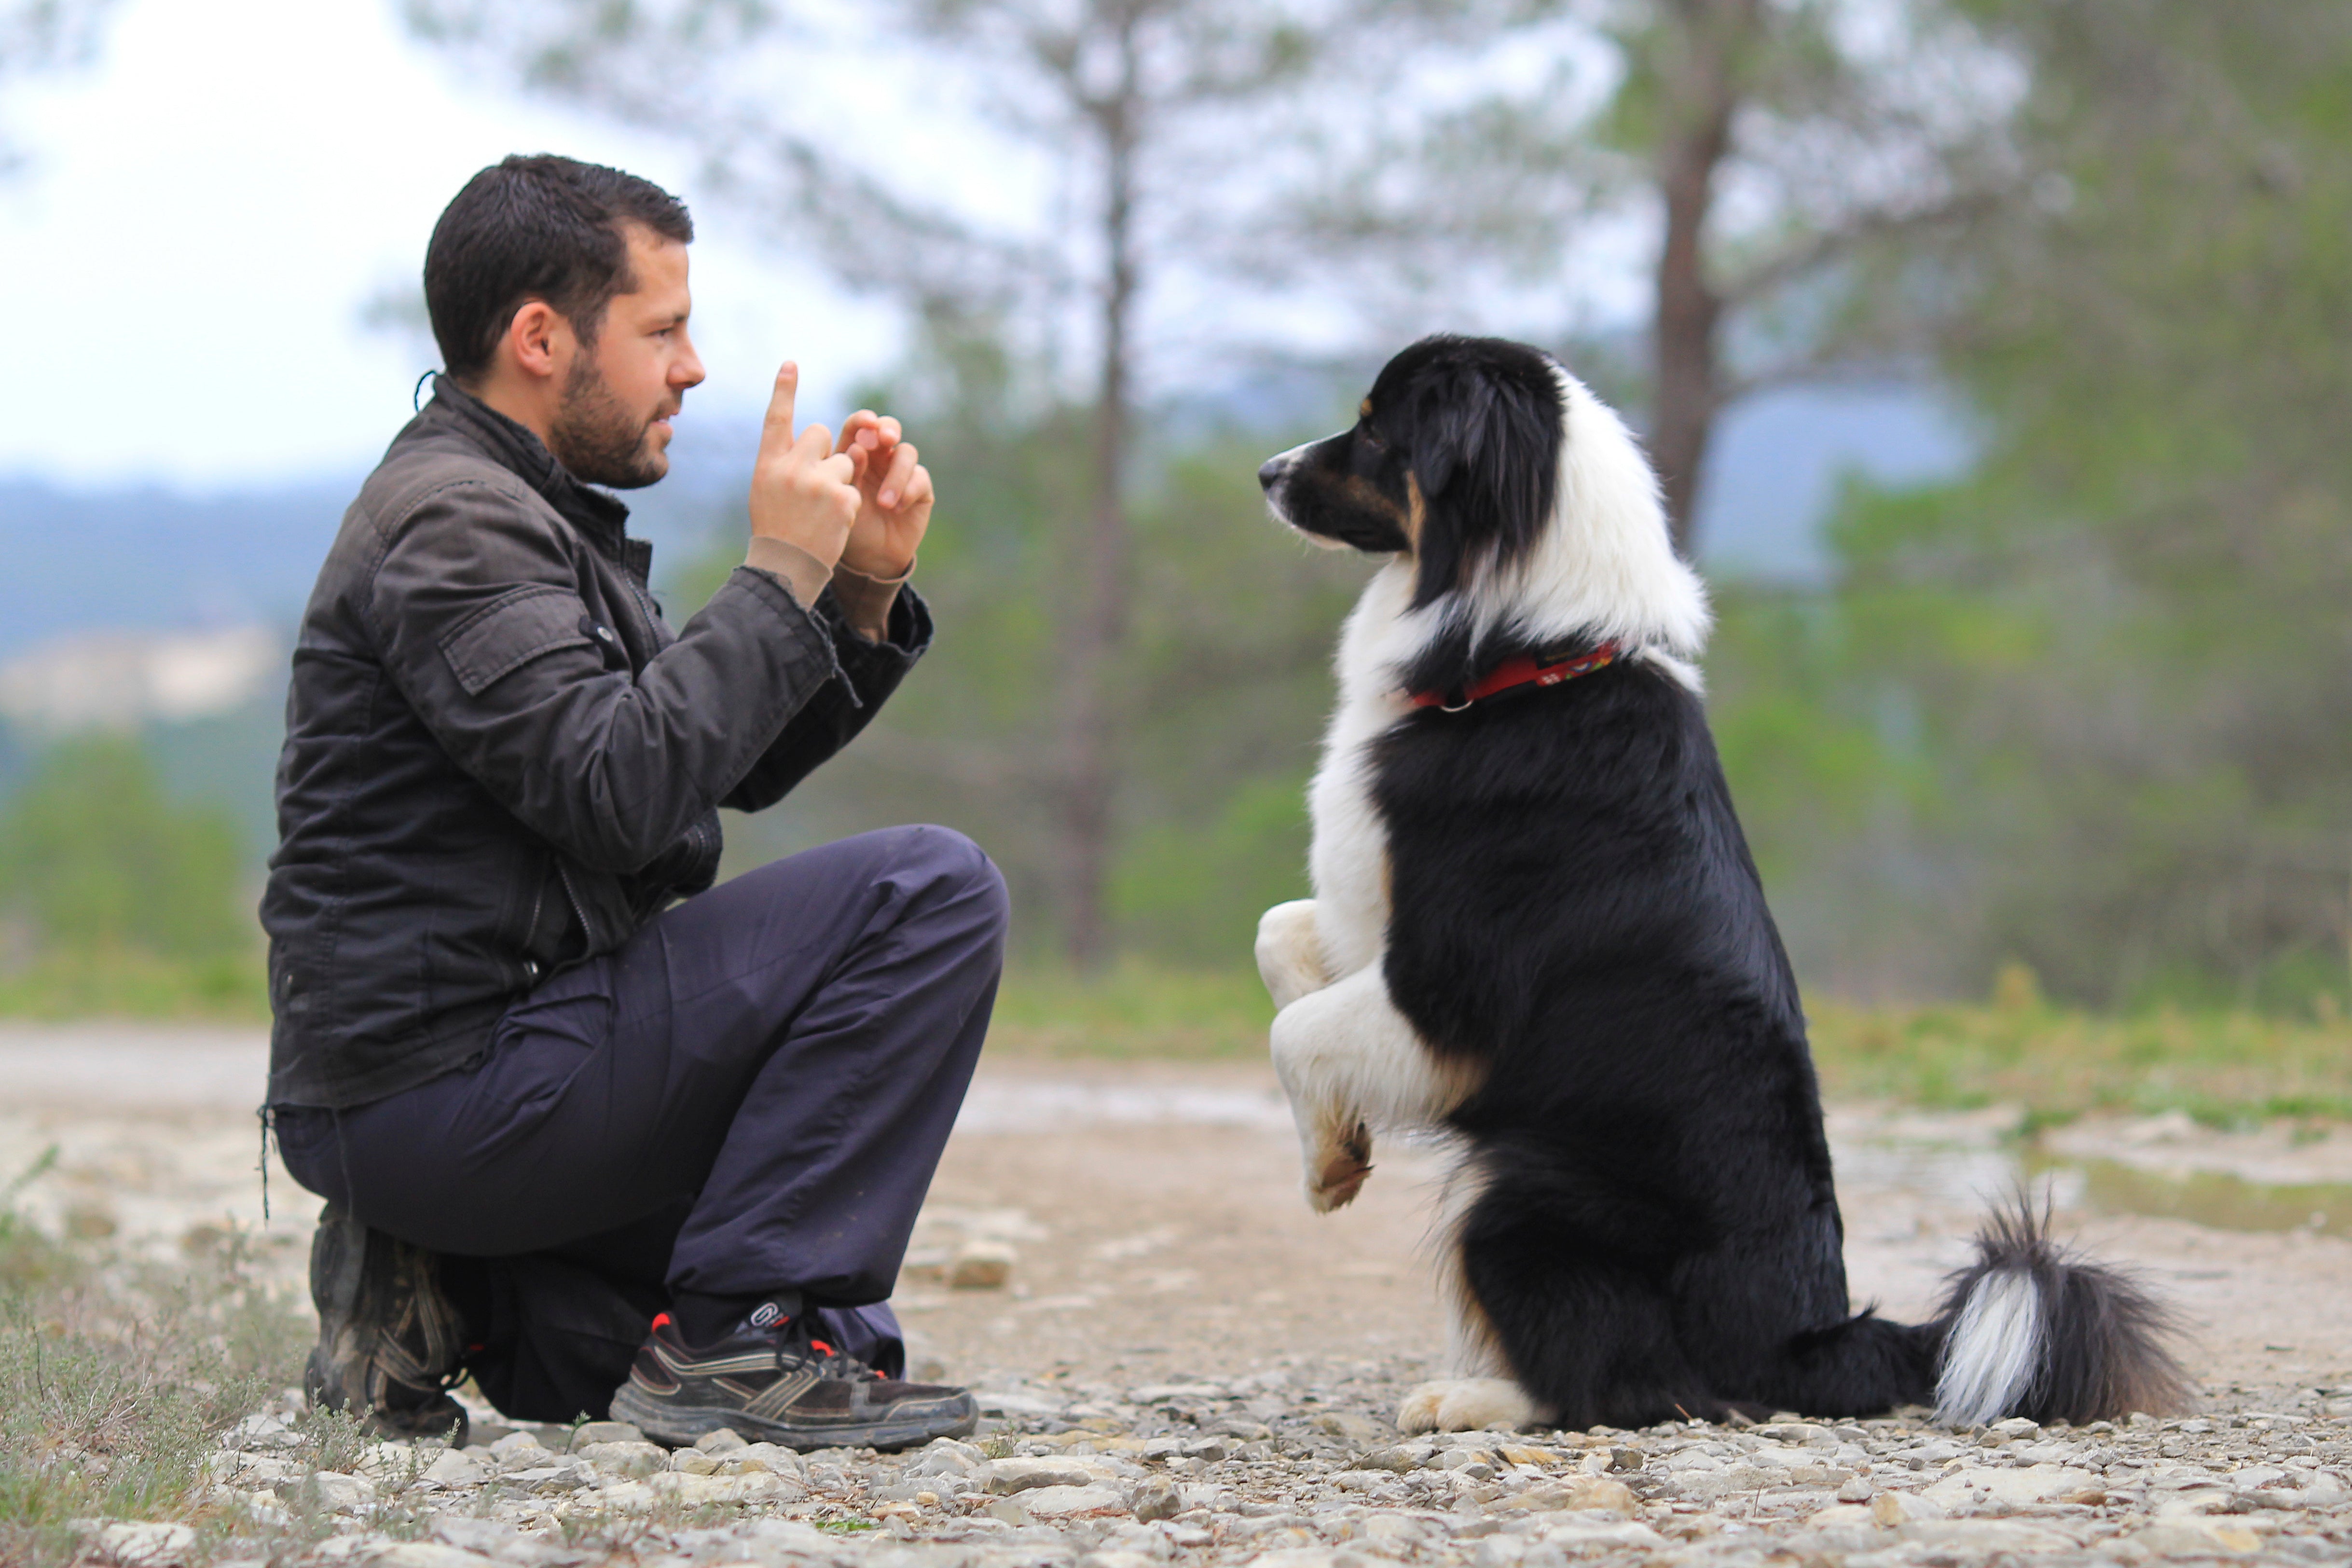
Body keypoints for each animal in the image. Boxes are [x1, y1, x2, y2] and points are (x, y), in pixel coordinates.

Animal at [1251, 338, 2183, 1439]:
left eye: (1375, 430)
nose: (1264, 473)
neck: (1526, 657)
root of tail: (1806, 1338)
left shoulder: (1450, 988)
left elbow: (1296, 1032)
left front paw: (1325, 1172)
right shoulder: (1372, 927)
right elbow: (1279, 939)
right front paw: (1341, 1141)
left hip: (1519, 1194)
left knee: (1632, 1387)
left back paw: (1474, 1397)